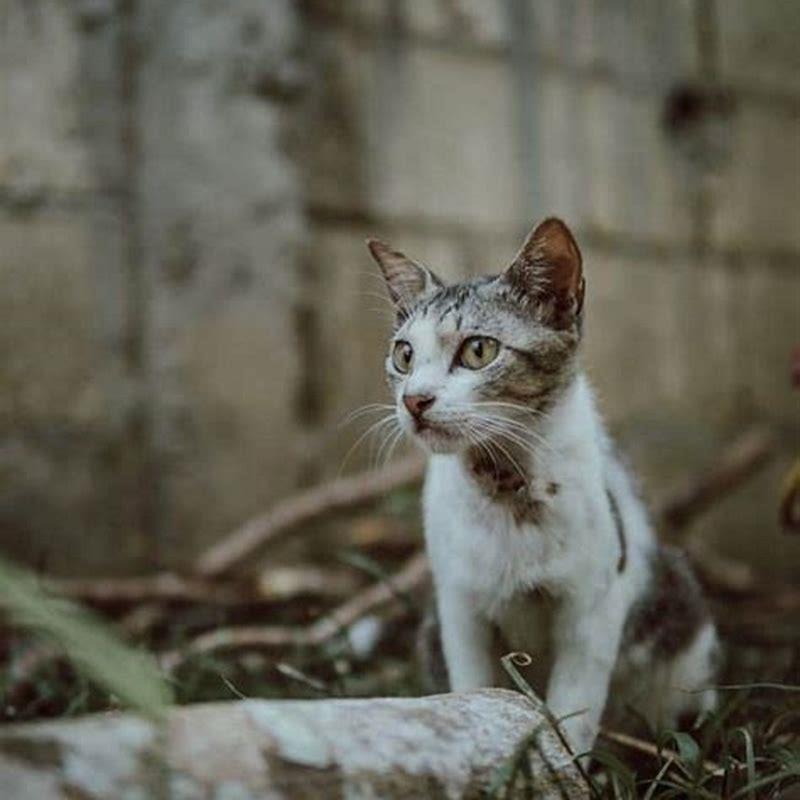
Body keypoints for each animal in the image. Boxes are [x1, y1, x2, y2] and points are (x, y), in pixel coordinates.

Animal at [368, 219, 720, 756]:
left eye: (479, 350)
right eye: (404, 355)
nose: (414, 400)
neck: (506, 486)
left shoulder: (593, 608)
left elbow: (574, 709)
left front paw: (567, 761)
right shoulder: (458, 607)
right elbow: (472, 686)